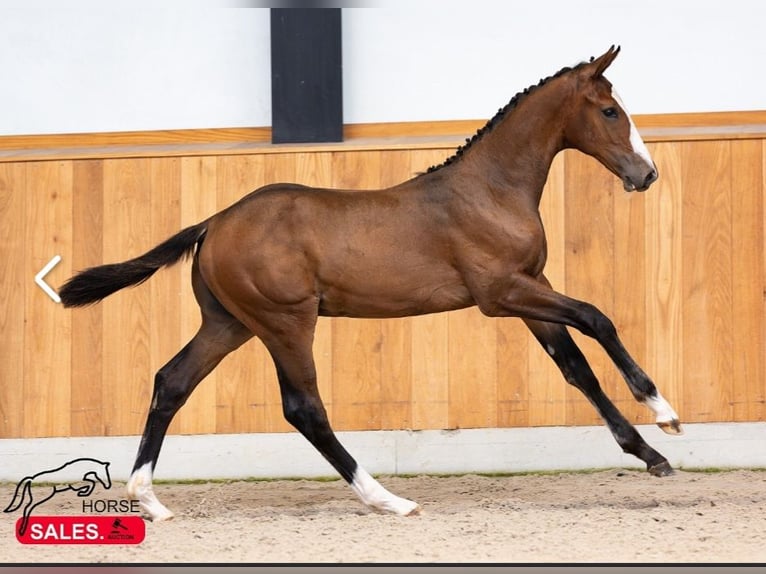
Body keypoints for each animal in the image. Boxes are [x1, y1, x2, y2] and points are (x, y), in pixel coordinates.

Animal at [60, 45, 684, 520]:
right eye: (609, 110)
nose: (647, 174)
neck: (491, 190)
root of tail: (213, 223)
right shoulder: (501, 294)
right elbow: (597, 318)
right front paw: (663, 411)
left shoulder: (530, 289)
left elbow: (575, 366)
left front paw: (649, 453)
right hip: (285, 322)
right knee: (304, 407)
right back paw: (389, 499)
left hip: (230, 324)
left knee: (172, 382)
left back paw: (150, 501)